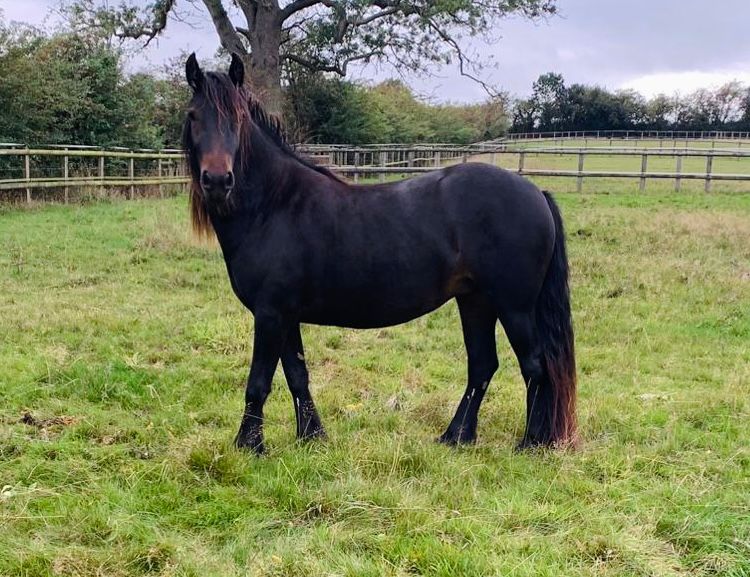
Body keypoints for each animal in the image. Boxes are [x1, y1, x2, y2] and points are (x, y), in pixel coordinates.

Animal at [182, 53, 577, 455]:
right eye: (193, 115)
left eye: (238, 118)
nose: (218, 181)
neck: (274, 204)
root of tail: (536, 192)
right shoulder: (285, 316)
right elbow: (297, 375)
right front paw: (311, 436)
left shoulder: (270, 314)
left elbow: (259, 382)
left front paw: (249, 446)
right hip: (476, 301)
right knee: (483, 366)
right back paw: (456, 436)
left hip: (514, 307)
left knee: (535, 366)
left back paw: (531, 443)